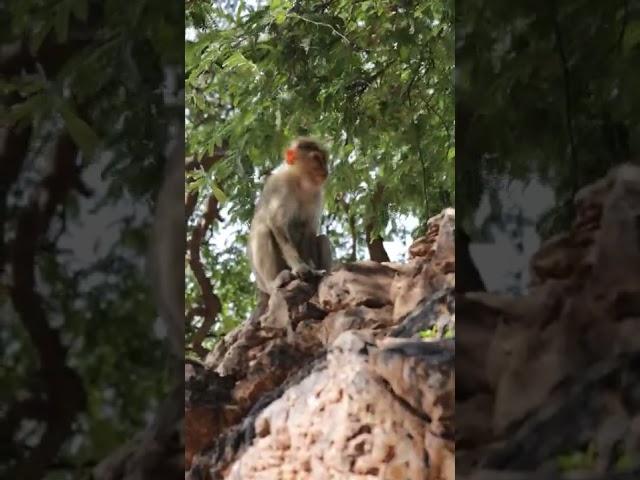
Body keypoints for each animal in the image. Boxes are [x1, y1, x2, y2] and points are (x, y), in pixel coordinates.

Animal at [248, 137, 332, 298]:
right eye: (317, 159)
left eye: (324, 159)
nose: (326, 171)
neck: (299, 181)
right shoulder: (280, 186)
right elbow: (277, 224)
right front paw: (300, 267)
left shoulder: (317, 193)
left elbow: (309, 229)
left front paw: (311, 269)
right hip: (261, 279)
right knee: (263, 231)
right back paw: (275, 282)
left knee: (323, 238)